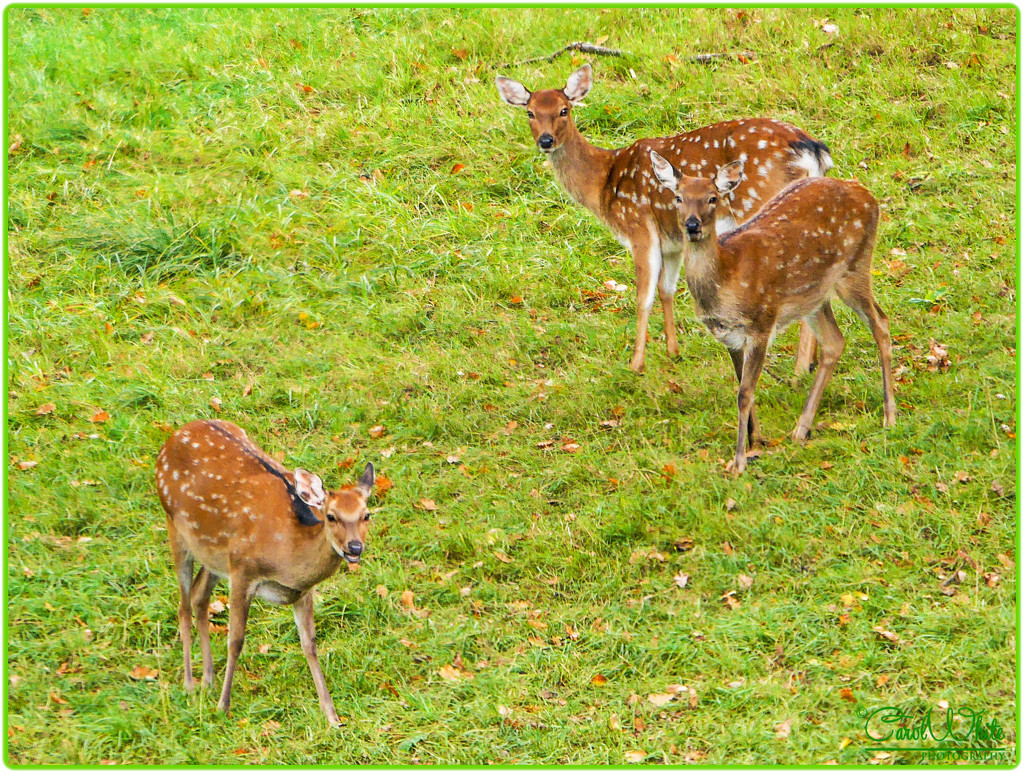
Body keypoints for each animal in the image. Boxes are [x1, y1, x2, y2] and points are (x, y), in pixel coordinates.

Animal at [151, 417, 376, 724]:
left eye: (367, 515)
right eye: (331, 516)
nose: (354, 548)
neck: (287, 553)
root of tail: (173, 437)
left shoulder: (301, 591)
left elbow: (310, 644)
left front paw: (331, 716)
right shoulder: (243, 570)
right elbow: (235, 640)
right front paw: (223, 707)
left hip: (215, 554)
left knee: (199, 595)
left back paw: (208, 679)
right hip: (175, 527)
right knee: (183, 606)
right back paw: (190, 684)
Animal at [497, 63, 831, 372]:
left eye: (564, 110)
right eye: (530, 112)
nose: (546, 140)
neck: (604, 184)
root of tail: (812, 150)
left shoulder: (638, 227)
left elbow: (643, 297)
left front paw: (636, 364)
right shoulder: (672, 241)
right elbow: (666, 290)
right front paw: (673, 351)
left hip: (761, 203)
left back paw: (801, 368)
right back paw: (811, 362)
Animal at [647, 151, 897, 475]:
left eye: (713, 198)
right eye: (678, 197)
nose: (692, 225)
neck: (726, 280)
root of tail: (869, 195)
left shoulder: (761, 323)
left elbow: (745, 393)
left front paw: (739, 461)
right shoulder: (728, 336)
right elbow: (741, 388)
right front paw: (755, 441)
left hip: (855, 267)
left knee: (881, 322)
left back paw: (889, 416)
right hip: (813, 296)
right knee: (834, 341)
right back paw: (801, 429)